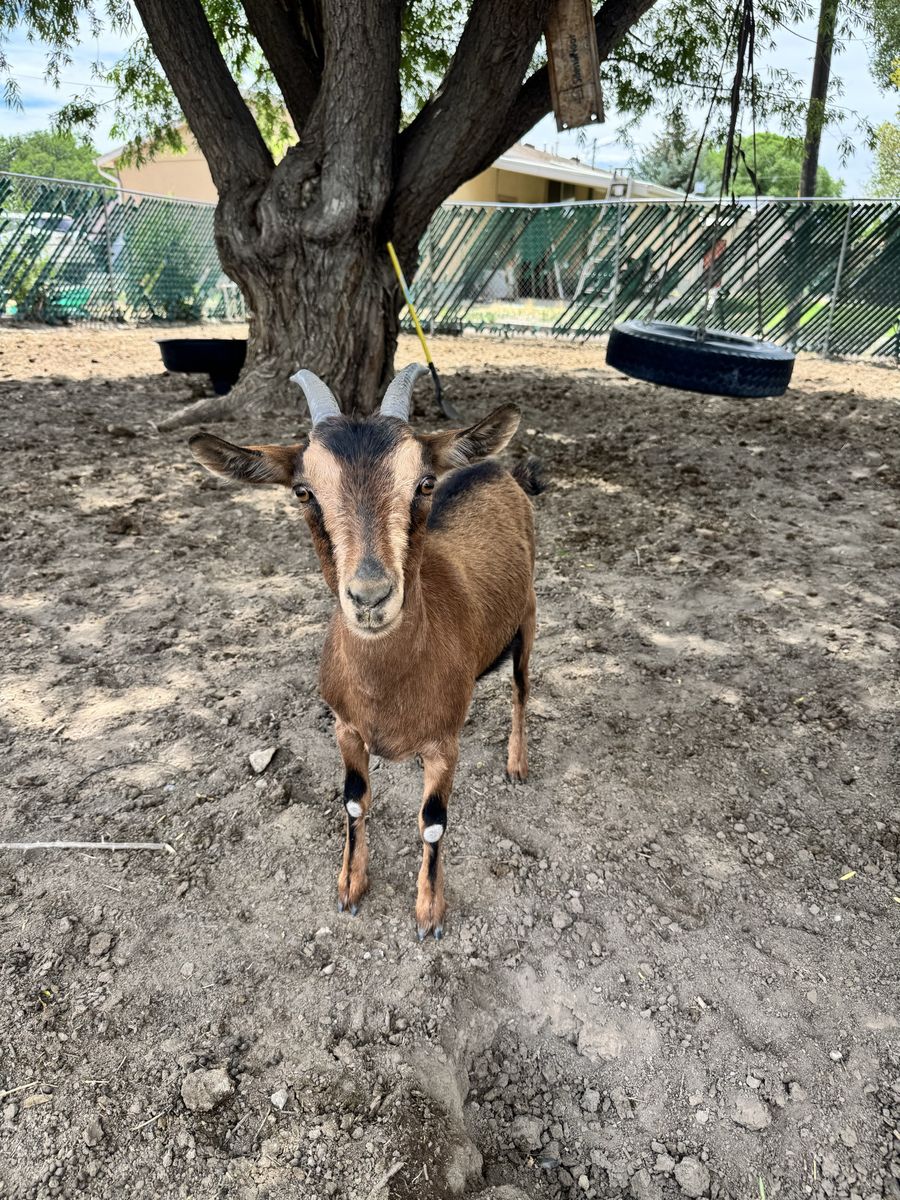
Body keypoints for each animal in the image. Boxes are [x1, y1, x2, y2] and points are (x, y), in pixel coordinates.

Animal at [189, 364, 542, 938]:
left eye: (424, 483)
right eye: (303, 492)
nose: (371, 597)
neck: (387, 688)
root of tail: (503, 470)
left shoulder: (444, 743)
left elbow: (433, 823)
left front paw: (429, 911)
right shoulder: (345, 727)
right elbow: (354, 802)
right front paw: (350, 886)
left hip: (529, 618)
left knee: (521, 690)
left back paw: (516, 763)